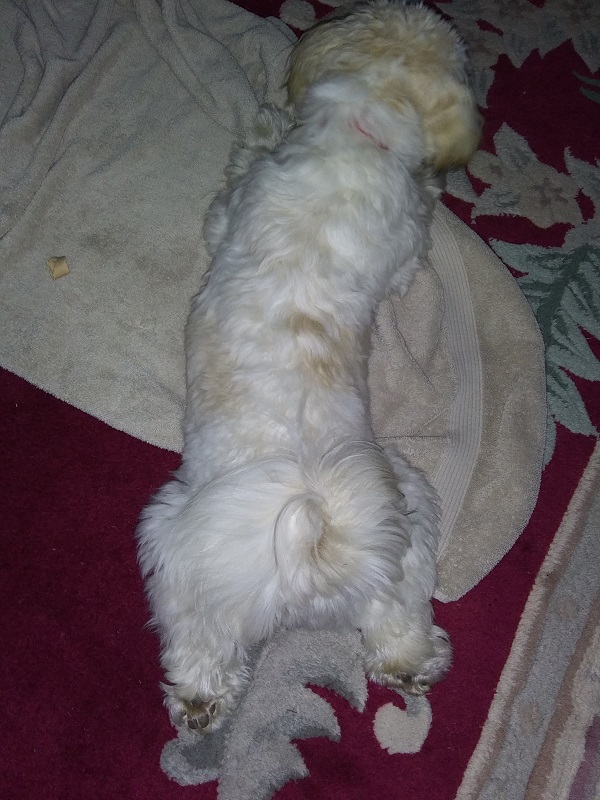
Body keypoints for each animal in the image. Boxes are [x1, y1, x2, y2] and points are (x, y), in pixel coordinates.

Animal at [138, 0, 480, 736]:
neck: (367, 130)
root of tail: (314, 573)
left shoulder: (232, 208)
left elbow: (232, 187)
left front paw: (264, 122)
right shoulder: (400, 247)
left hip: (183, 543)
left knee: (201, 639)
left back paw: (199, 698)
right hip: (403, 521)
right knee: (397, 616)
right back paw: (410, 664)